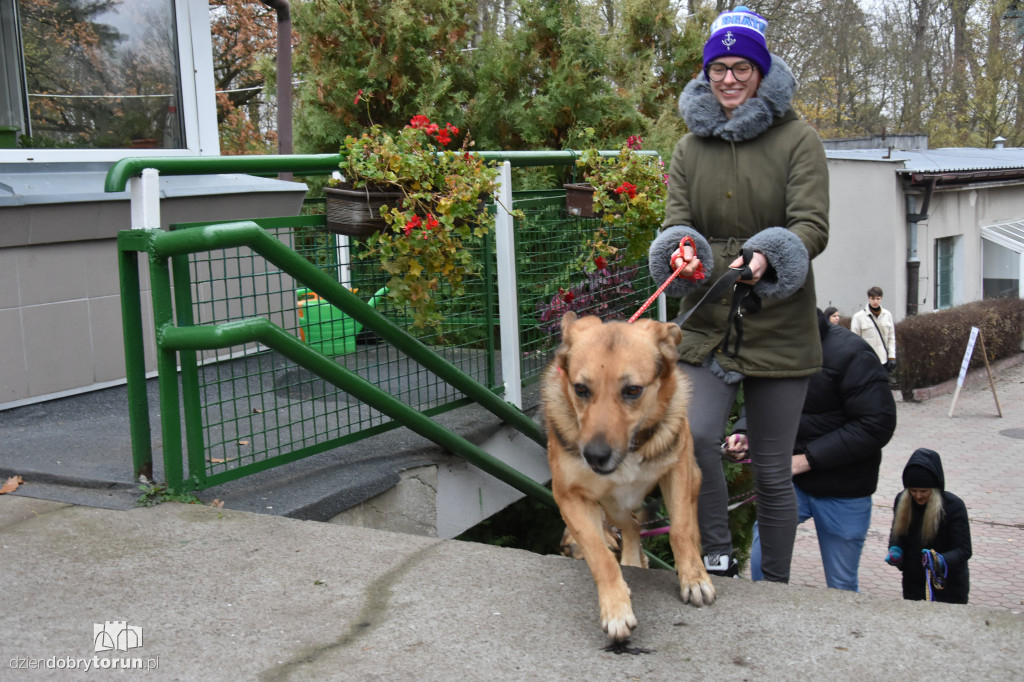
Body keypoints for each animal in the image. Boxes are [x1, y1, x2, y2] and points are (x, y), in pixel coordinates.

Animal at [544, 311, 712, 638]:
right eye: (581, 389)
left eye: (632, 390)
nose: (595, 455)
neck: (632, 449)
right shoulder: (569, 497)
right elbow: (600, 554)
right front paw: (616, 607)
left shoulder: (677, 471)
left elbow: (680, 529)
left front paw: (694, 577)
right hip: (613, 506)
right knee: (632, 526)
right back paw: (632, 562)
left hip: (689, 482)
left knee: (686, 522)